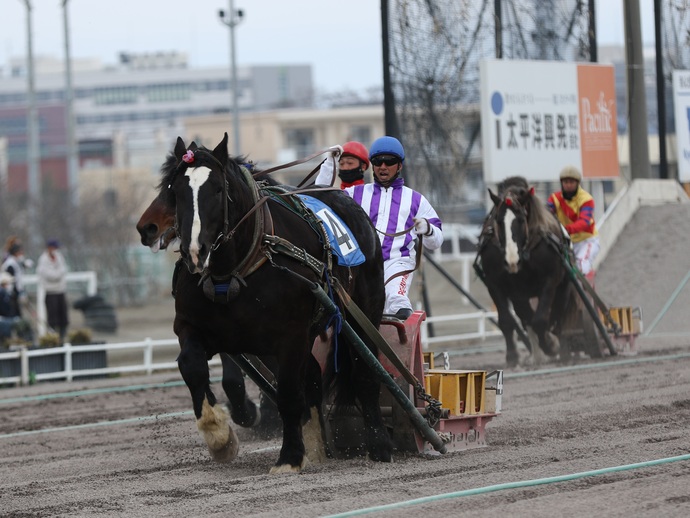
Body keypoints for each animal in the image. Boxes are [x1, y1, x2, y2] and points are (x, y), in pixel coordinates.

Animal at [162, 134, 390, 476]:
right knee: (313, 376)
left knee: (365, 372)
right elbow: (192, 366)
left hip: (364, 313)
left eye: (217, 189)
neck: (234, 270)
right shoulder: (195, 326)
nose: (195, 251)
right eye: (175, 191)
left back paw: (378, 445)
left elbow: (288, 394)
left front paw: (289, 456)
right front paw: (220, 437)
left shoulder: (290, 335)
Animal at [472, 177, 576, 368]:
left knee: (558, 314)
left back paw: (562, 348)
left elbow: (541, 320)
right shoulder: (495, 283)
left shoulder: (550, 280)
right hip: (519, 294)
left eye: (520, 219)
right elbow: (507, 320)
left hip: (564, 284)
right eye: (498, 220)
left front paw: (550, 345)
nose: (512, 261)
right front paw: (512, 356)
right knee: (525, 315)